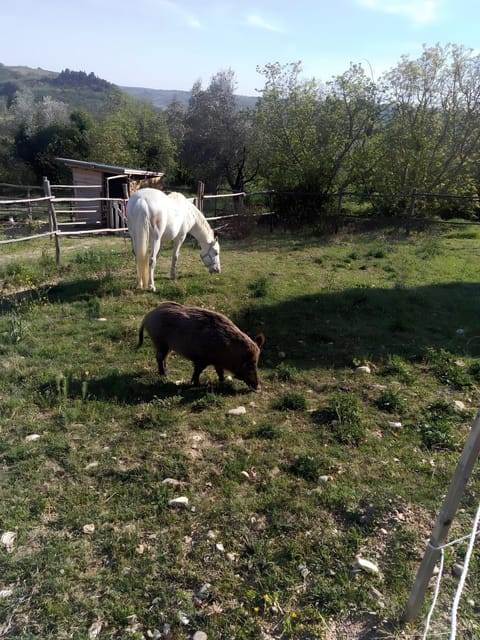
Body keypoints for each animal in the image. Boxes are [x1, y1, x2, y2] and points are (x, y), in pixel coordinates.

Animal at [138, 302, 266, 390]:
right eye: (249, 365)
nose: (258, 388)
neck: (228, 348)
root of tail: (147, 316)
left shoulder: (216, 362)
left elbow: (220, 372)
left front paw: (223, 382)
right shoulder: (202, 359)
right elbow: (198, 371)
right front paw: (197, 384)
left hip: (166, 346)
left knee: (163, 358)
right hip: (160, 342)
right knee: (159, 357)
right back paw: (165, 375)